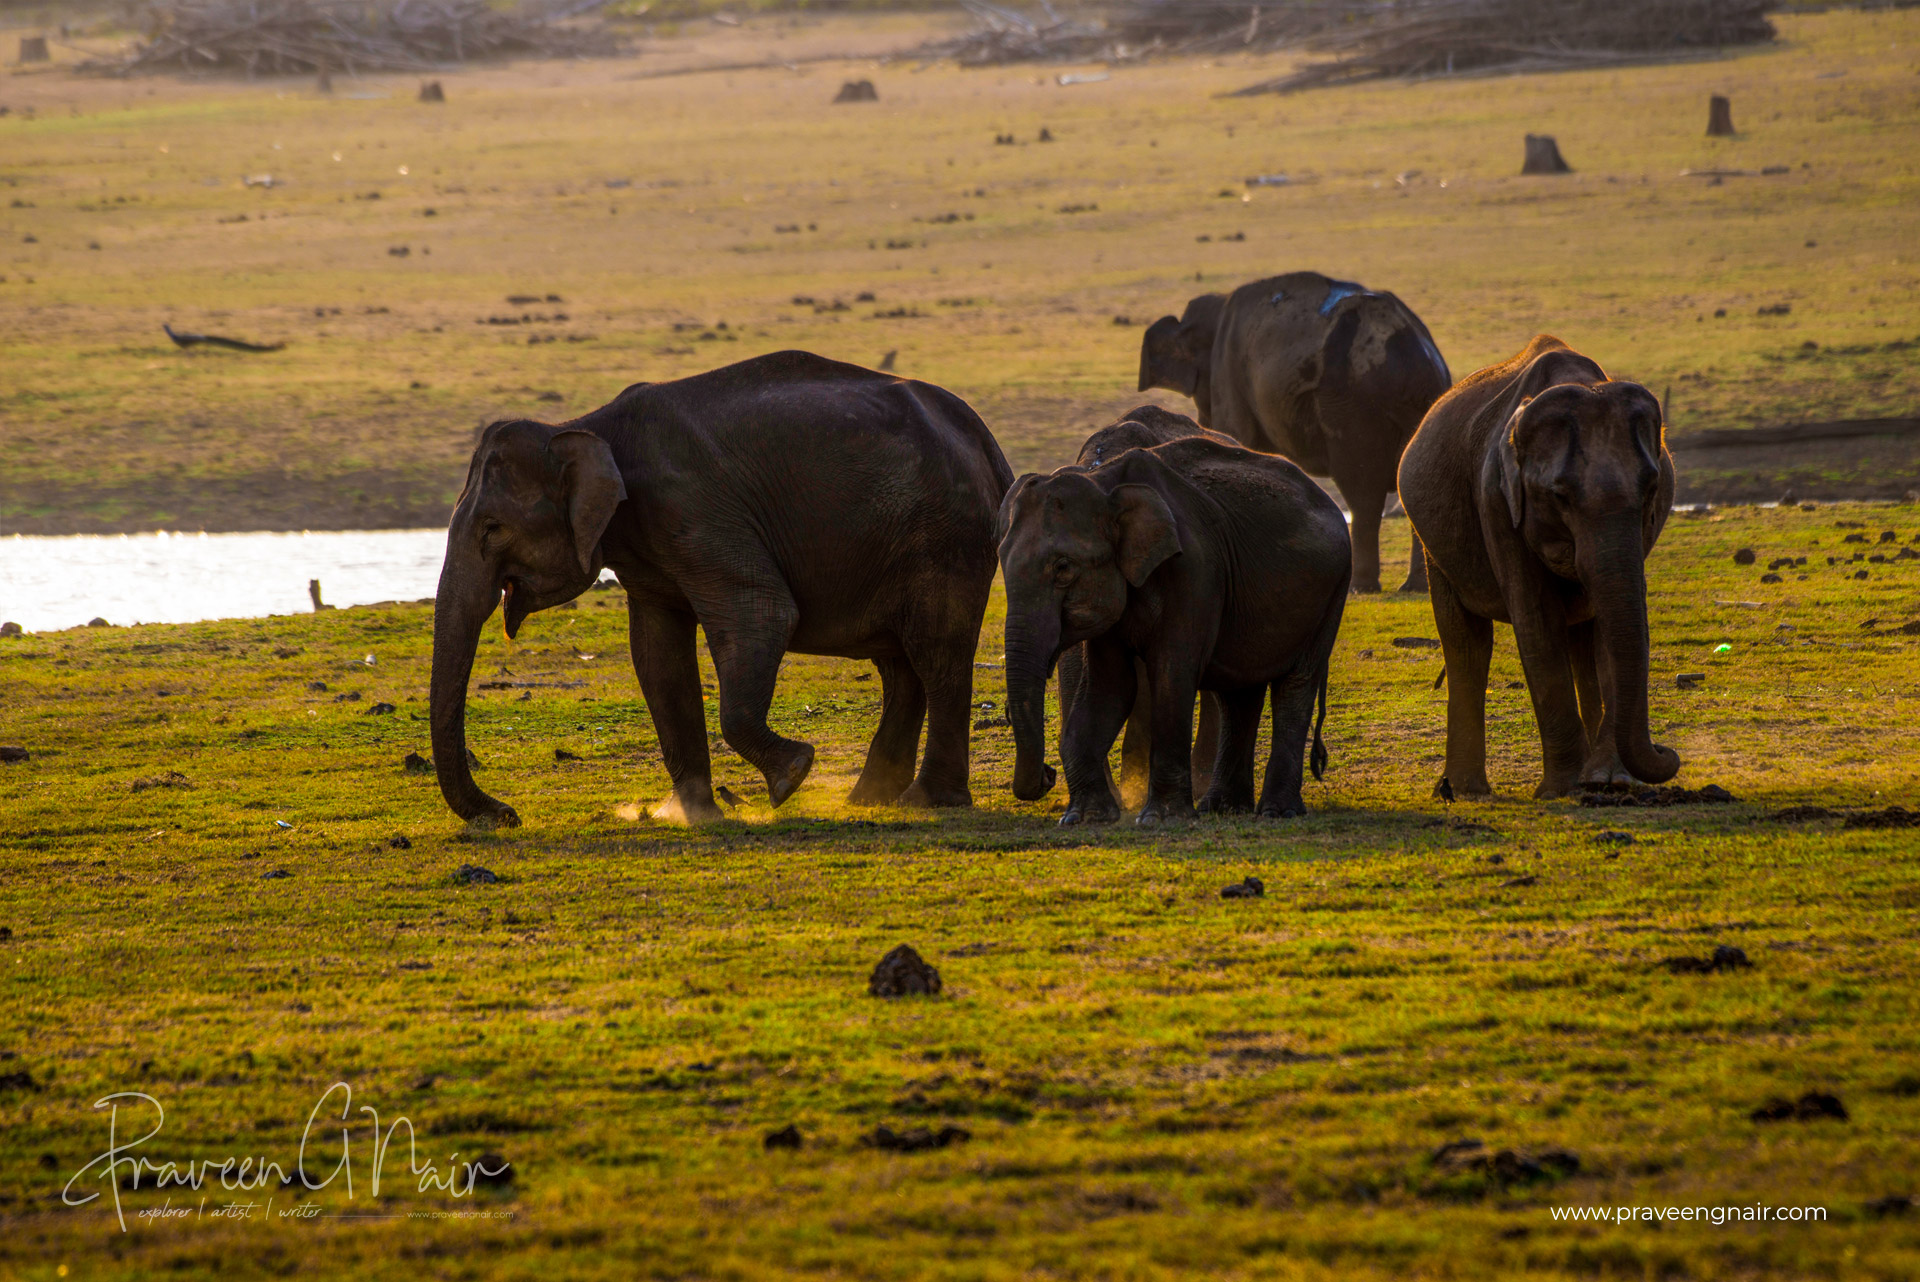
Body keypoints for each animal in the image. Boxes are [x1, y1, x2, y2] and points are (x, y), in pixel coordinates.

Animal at [430, 351, 1013, 832]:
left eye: (492, 529)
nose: (507, 814)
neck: (587, 425)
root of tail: (985, 440)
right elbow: (657, 655)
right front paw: (688, 812)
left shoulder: (692, 509)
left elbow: (762, 615)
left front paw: (793, 776)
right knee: (901, 667)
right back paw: (868, 801)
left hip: (943, 538)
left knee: (936, 655)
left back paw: (924, 801)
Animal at [990, 435, 1351, 825]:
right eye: (1001, 559)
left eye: (1062, 567)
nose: (1047, 775)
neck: (1104, 483)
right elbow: (1111, 686)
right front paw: (1084, 818)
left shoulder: (1195, 570)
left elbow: (1171, 673)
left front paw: (1160, 819)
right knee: (1239, 692)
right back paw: (1221, 808)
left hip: (1331, 594)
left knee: (1296, 684)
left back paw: (1276, 812)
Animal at [1136, 272, 1451, 594]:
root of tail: (1416, 361)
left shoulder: (1227, 369)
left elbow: (1235, 433)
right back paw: (1414, 587)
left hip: (1353, 408)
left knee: (1362, 494)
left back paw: (1361, 588)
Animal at [1397, 335, 1681, 794]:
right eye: (1559, 496)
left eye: (1652, 487)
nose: (1667, 752)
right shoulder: (1495, 499)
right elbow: (1537, 622)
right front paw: (1564, 789)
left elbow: (1609, 628)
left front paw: (1608, 780)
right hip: (1433, 548)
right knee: (1466, 644)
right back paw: (1465, 791)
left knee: (1581, 643)